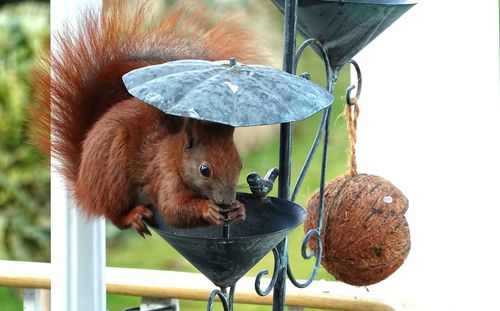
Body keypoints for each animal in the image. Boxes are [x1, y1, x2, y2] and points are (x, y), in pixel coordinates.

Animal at [29, 1, 262, 238]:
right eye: (204, 170)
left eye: (240, 163)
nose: (226, 202)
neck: (176, 157)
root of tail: (83, 187)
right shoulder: (163, 174)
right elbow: (171, 210)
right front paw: (209, 209)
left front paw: (239, 210)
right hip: (112, 175)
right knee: (113, 214)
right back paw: (132, 216)